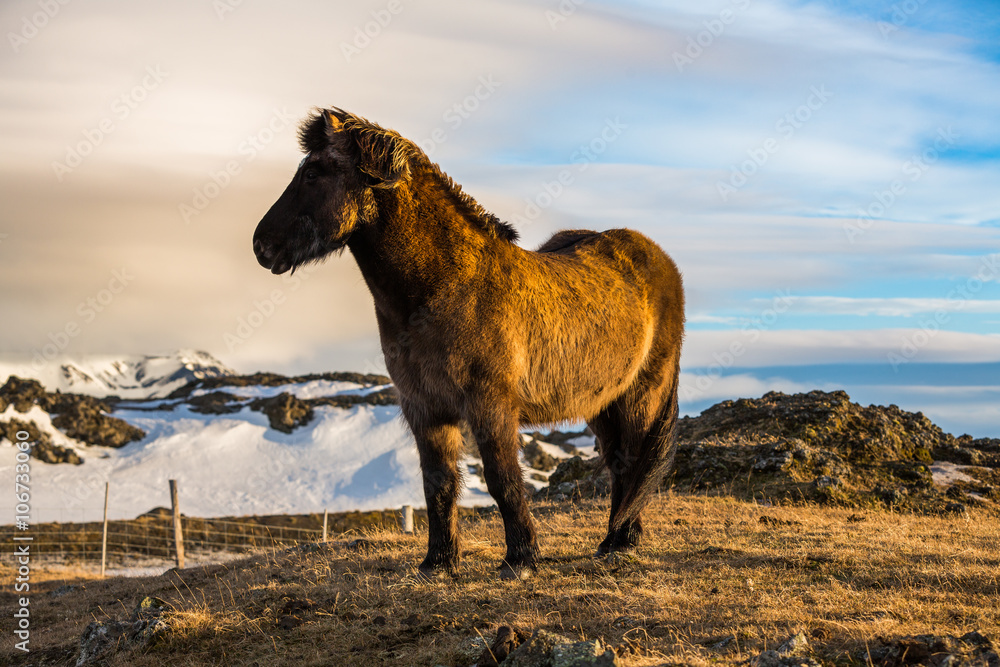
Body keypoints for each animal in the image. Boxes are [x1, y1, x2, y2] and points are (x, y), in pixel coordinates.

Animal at [254, 108, 684, 580]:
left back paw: (623, 541)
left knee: (634, 458)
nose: (261, 245)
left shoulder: (489, 403)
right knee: (618, 462)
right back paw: (612, 540)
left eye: (313, 172)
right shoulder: (424, 407)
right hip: (602, 402)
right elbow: (438, 484)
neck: (446, 286)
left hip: (642, 394)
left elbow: (502, 479)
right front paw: (439, 563)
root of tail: (657, 258)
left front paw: (521, 560)